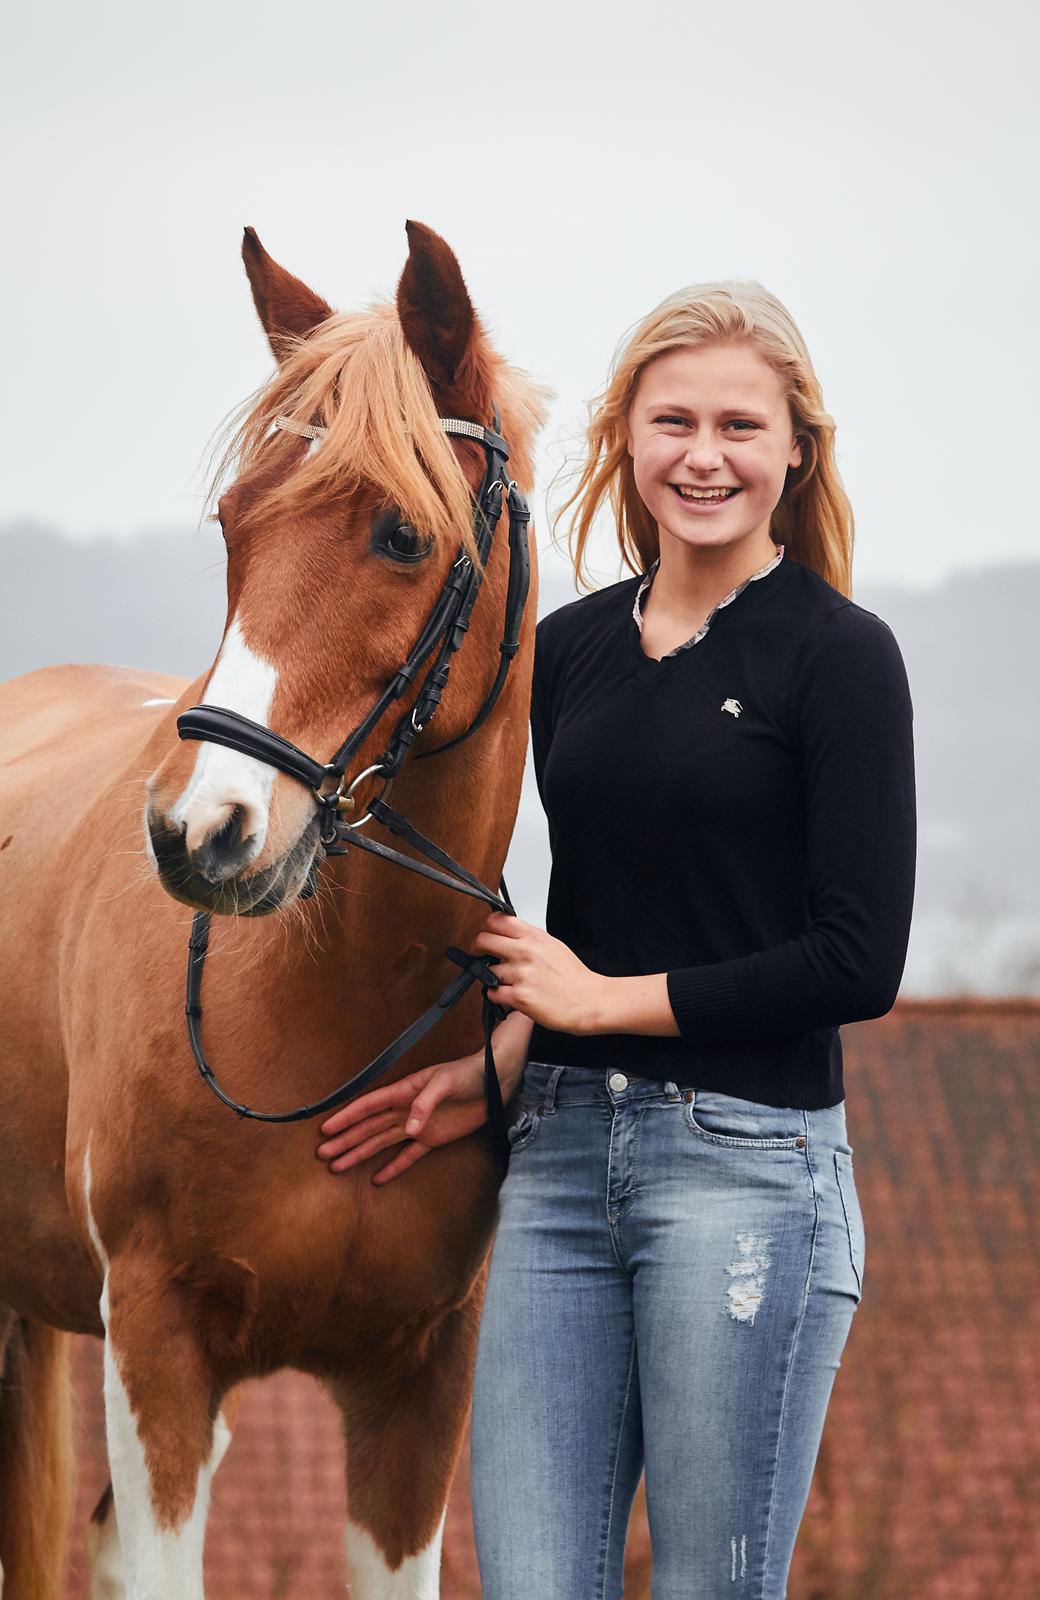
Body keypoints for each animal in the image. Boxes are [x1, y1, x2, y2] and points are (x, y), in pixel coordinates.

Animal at [0, 220, 548, 1599]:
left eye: (401, 534)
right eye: (235, 523)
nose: (199, 835)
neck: (325, 1002)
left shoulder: (417, 1385)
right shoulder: (158, 1353)